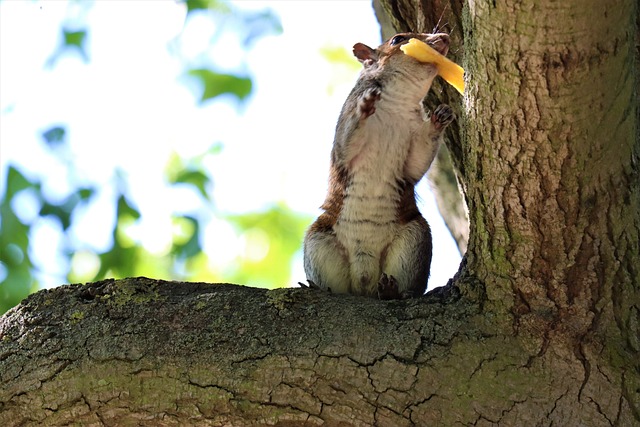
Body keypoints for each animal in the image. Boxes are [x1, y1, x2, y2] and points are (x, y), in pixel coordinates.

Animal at [302, 32, 456, 300]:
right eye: (397, 39)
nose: (444, 37)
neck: (396, 103)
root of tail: (364, 282)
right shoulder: (343, 133)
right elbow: (346, 144)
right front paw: (365, 107)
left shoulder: (413, 146)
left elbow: (416, 163)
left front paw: (440, 117)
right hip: (318, 241)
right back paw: (317, 287)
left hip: (414, 239)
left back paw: (393, 291)